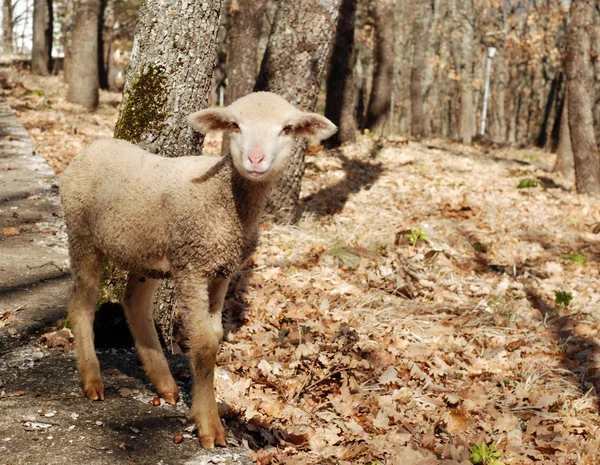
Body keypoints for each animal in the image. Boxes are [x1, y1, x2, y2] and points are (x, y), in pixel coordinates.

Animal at [60, 91, 338, 450]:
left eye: (287, 128)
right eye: (234, 124)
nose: (256, 159)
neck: (224, 200)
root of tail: (89, 149)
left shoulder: (222, 270)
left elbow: (217, 336)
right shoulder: (192, 267)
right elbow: (204, 343)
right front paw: (209, 426)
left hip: (148, 250)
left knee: (134, 303)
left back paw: (164, 382)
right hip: (82, 233)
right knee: (81, 301)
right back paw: (92, 379)